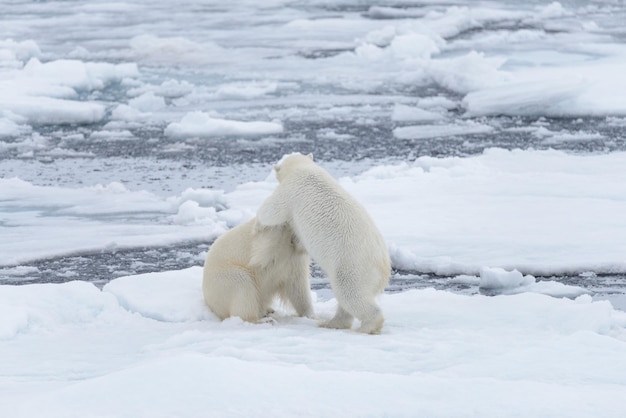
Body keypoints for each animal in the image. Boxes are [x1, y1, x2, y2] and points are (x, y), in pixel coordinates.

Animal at [256, 153, 388, 334]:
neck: (304, 168)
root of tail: (384, 268)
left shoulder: (290, 191)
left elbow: (272, 211)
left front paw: (258, 220)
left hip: (351, 266)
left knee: (350, 294)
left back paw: (367, 326)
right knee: (346, 301)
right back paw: (332, 323)